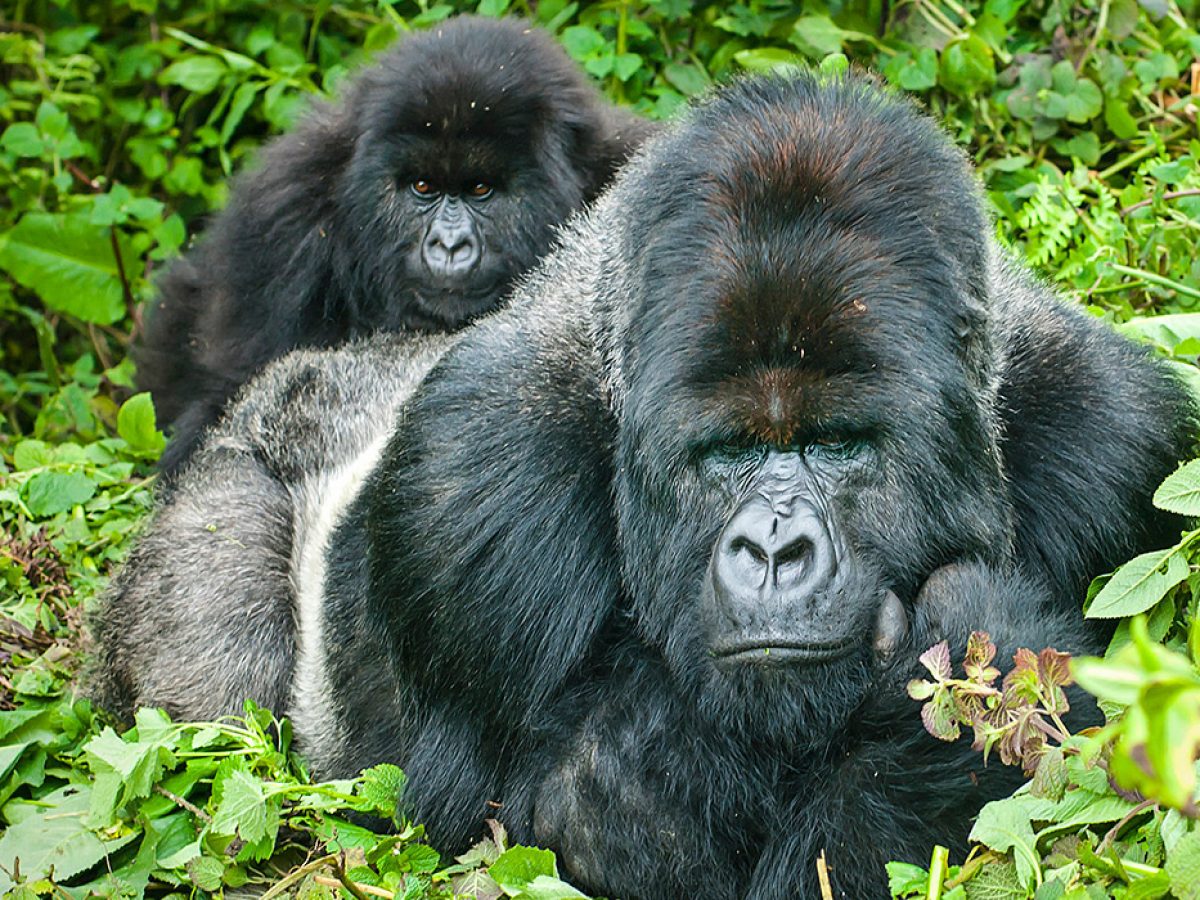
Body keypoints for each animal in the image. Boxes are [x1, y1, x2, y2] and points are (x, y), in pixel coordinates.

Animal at [91, 74, 1190, 897]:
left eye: (838, 444)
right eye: (727, 454)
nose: (775, 549)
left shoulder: (1121, 448)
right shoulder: (469, 484)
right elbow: (543, 816)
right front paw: (978, 643)